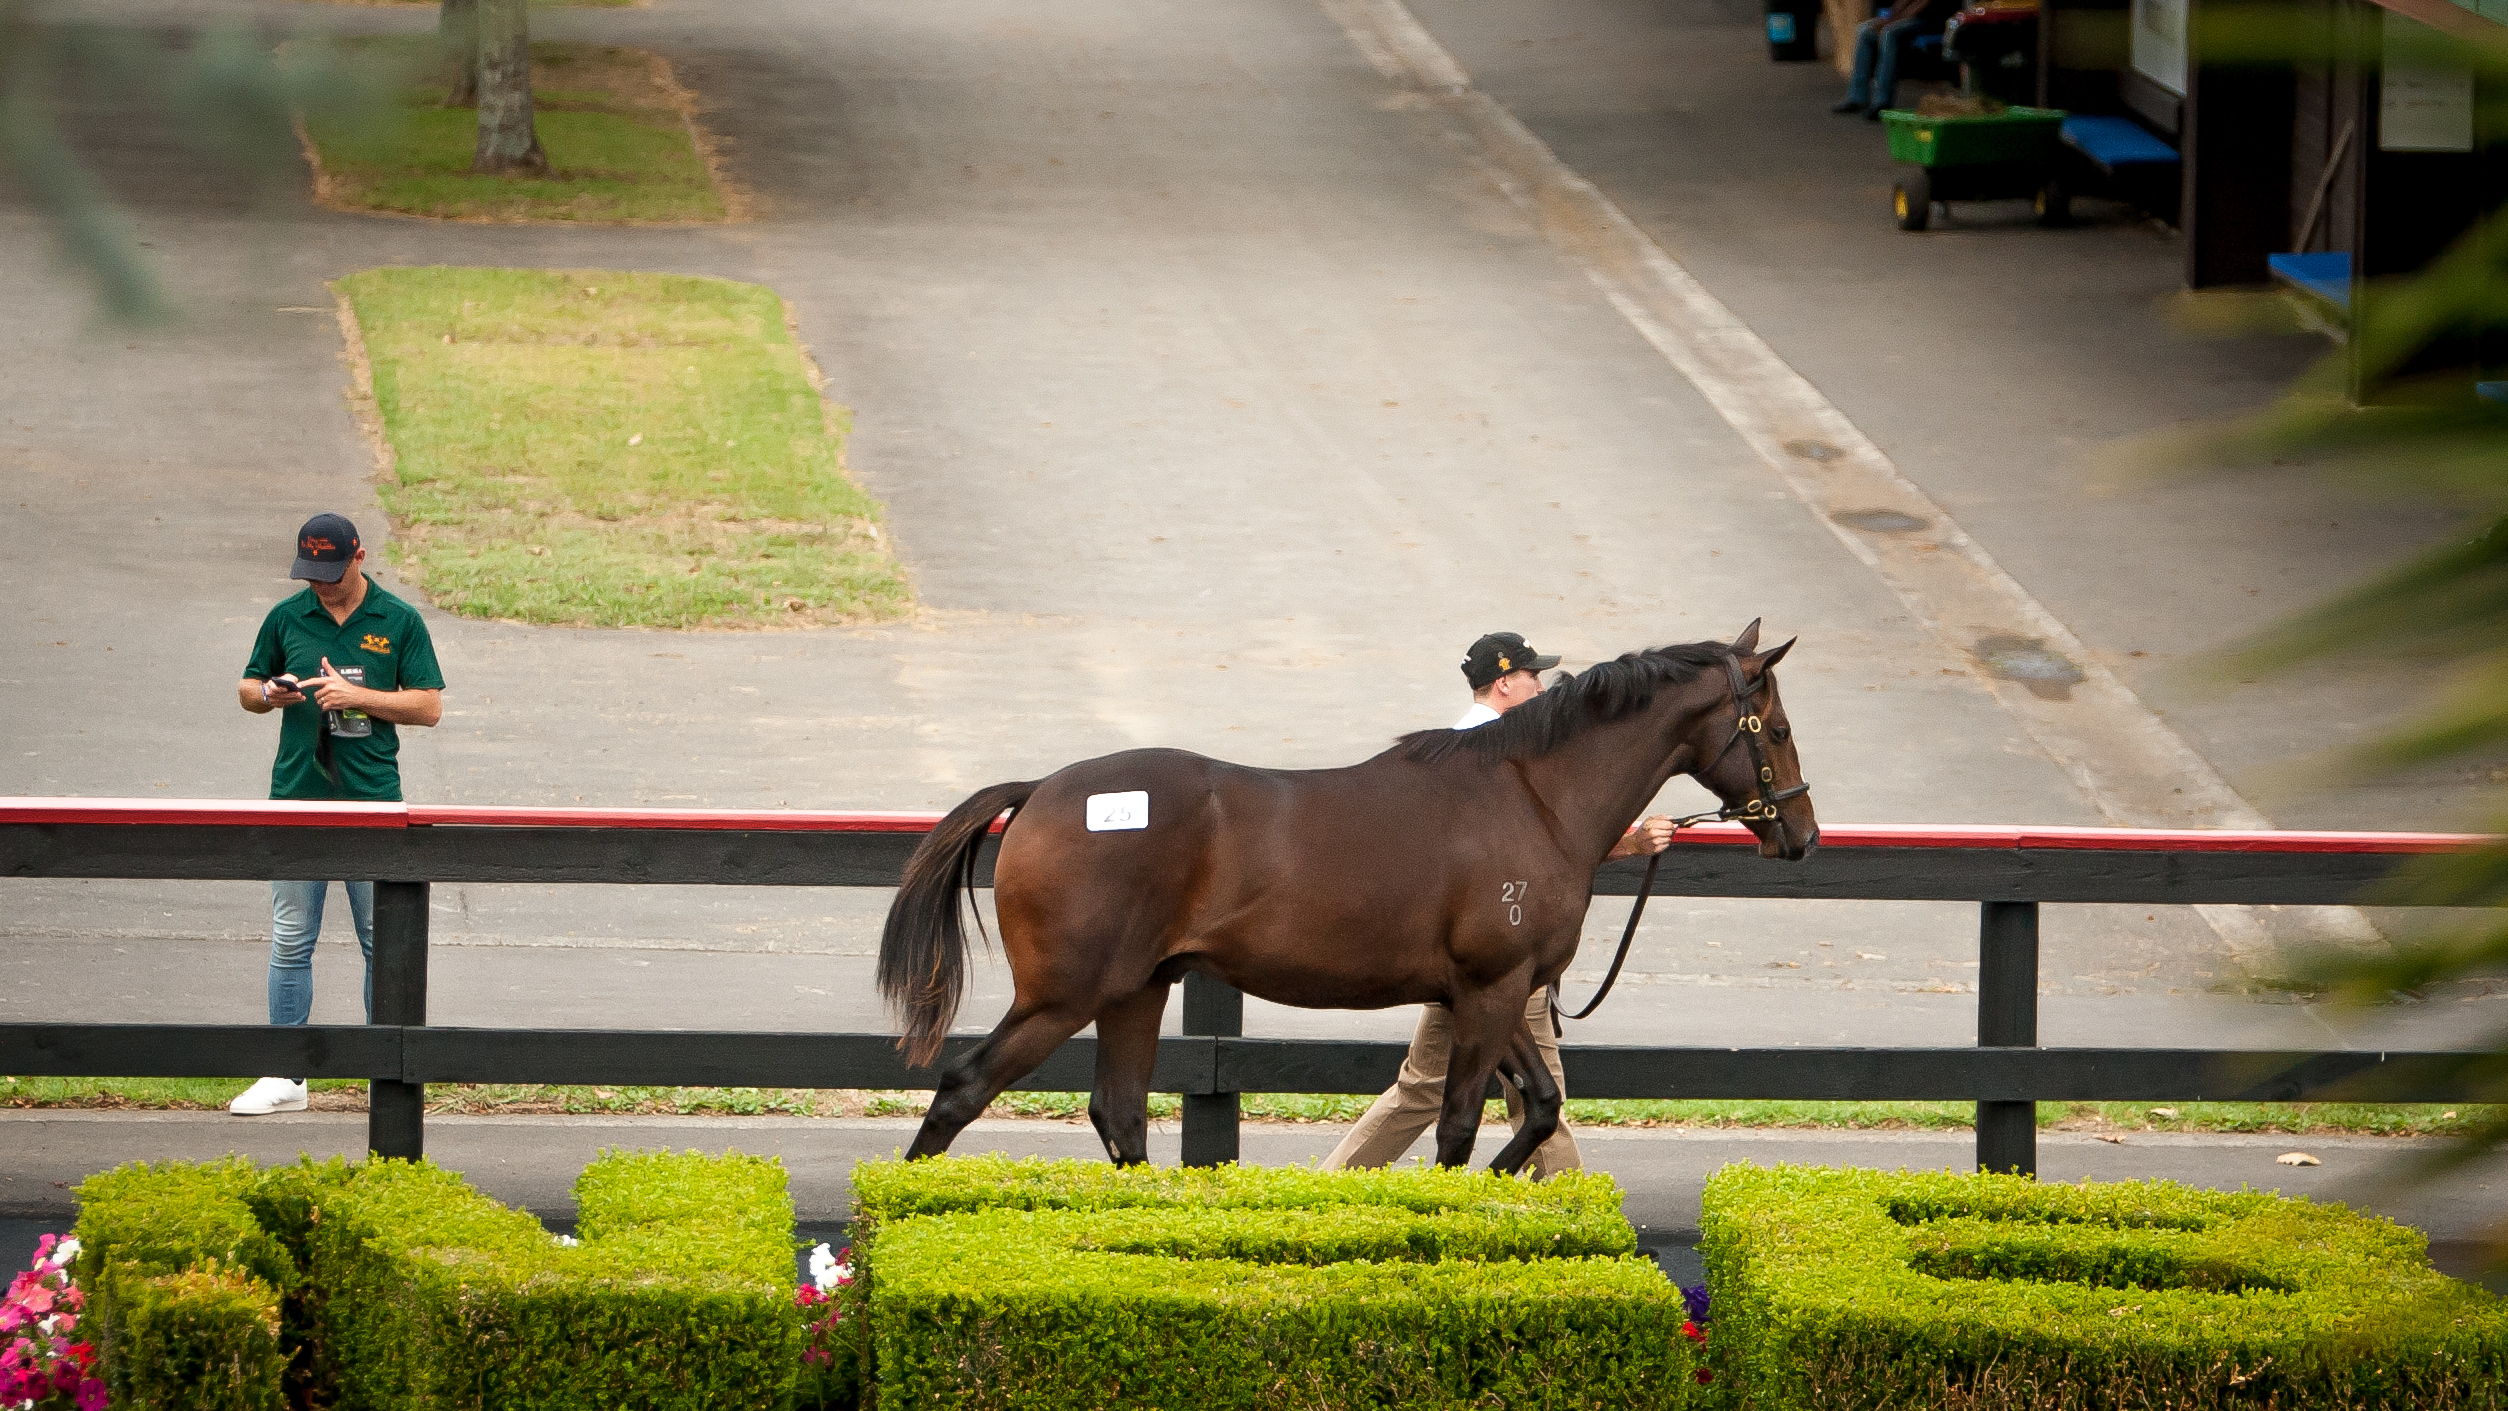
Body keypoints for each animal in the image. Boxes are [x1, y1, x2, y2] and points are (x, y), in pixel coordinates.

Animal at [876, 622, 1818, 1175]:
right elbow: (1458, 1123)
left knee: (1121, 1114)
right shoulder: (1492, 986)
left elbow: (1542, 1107)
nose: (1802, 833)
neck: (1532, 795)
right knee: (962, 1089)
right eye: (1774, 727)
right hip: (1064, 995)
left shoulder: (1490, 989)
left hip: (1137, 990)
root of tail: (1039, 790)